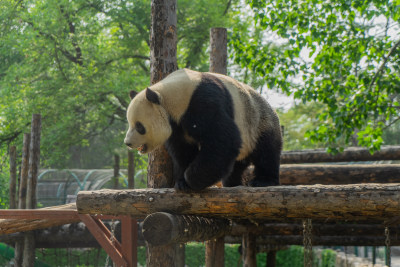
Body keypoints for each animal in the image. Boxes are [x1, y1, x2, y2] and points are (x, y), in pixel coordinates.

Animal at [123, 68, 282, 192]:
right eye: (129, 123)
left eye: (139, 126)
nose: (127, 143)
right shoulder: (178, 126)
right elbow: (183, 150)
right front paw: (182, 183)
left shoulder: (202, 103)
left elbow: (223, 140)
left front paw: (192, 180)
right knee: (236, 164)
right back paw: (232, 183)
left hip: (258, 123)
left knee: (266, 152)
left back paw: (262, 181)